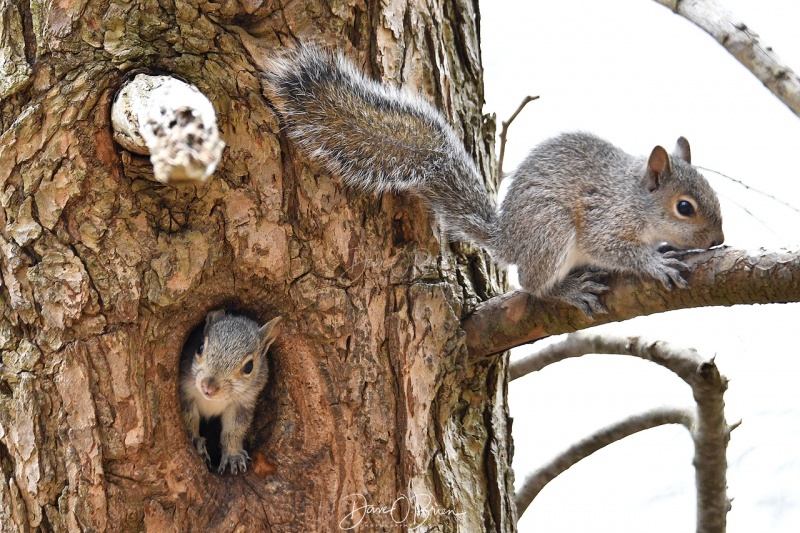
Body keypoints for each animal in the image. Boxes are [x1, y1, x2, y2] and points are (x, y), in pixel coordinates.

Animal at [179, 308, 282, 474]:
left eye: (249, 367)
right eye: (199, 347)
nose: (208, 387)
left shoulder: (242, 404)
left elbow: (233, 430)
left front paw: (233, 455)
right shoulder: (186, 393)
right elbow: (189, 419)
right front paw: (196, 442)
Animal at [262, 46, 724, 316]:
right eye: (684, 207)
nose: (719, 240)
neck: (634, 198)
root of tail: (510, 239)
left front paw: (661, 250)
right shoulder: (605, 219)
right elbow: (612, 248)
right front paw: (654, 262)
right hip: (552, 231)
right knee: (531, 283)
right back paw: (565, 291)